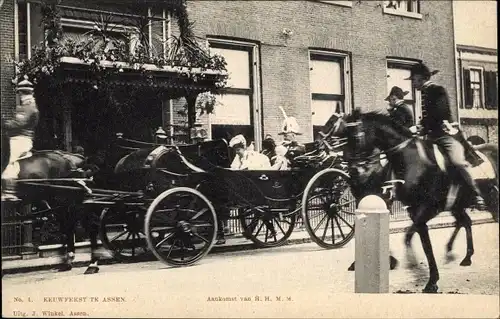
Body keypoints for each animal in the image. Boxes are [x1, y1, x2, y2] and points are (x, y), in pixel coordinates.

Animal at [0, 132, 102, 276]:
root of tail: (75, 159)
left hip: (73, 204)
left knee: (88, 227)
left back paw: (92, 265)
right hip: (62, 205)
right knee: (69, 227)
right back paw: (68, 262)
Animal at [338, 110, 498, 296]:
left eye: (355, 138)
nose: (352, 171)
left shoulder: (426, 209)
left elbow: (418, 239)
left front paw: (429, 279)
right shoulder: (411, 209)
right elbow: (413, 237)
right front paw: (414, 268)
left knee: (468, 220)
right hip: (457, 204)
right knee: (465, 221)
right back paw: (463, 256)